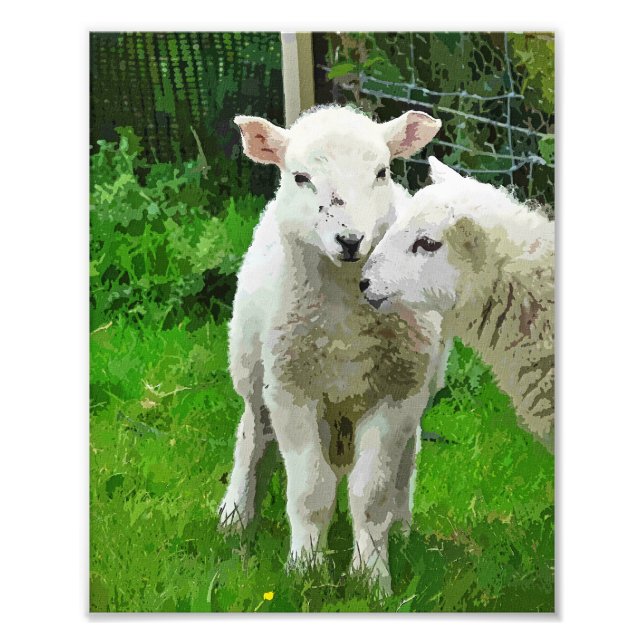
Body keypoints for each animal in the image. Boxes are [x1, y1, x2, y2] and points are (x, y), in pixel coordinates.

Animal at [219, 105, 445, 593]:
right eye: (301, 177)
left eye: (381, 172)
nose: (350, 240)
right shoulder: (291, 390)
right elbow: (310, 489)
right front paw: (305, 568)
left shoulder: (396, 392)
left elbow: (371, 494)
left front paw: (371, 577)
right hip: (251, 364)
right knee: (251, 435)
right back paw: (235, 516)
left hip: (418, 385)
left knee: (406, 459)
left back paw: (403, 528)